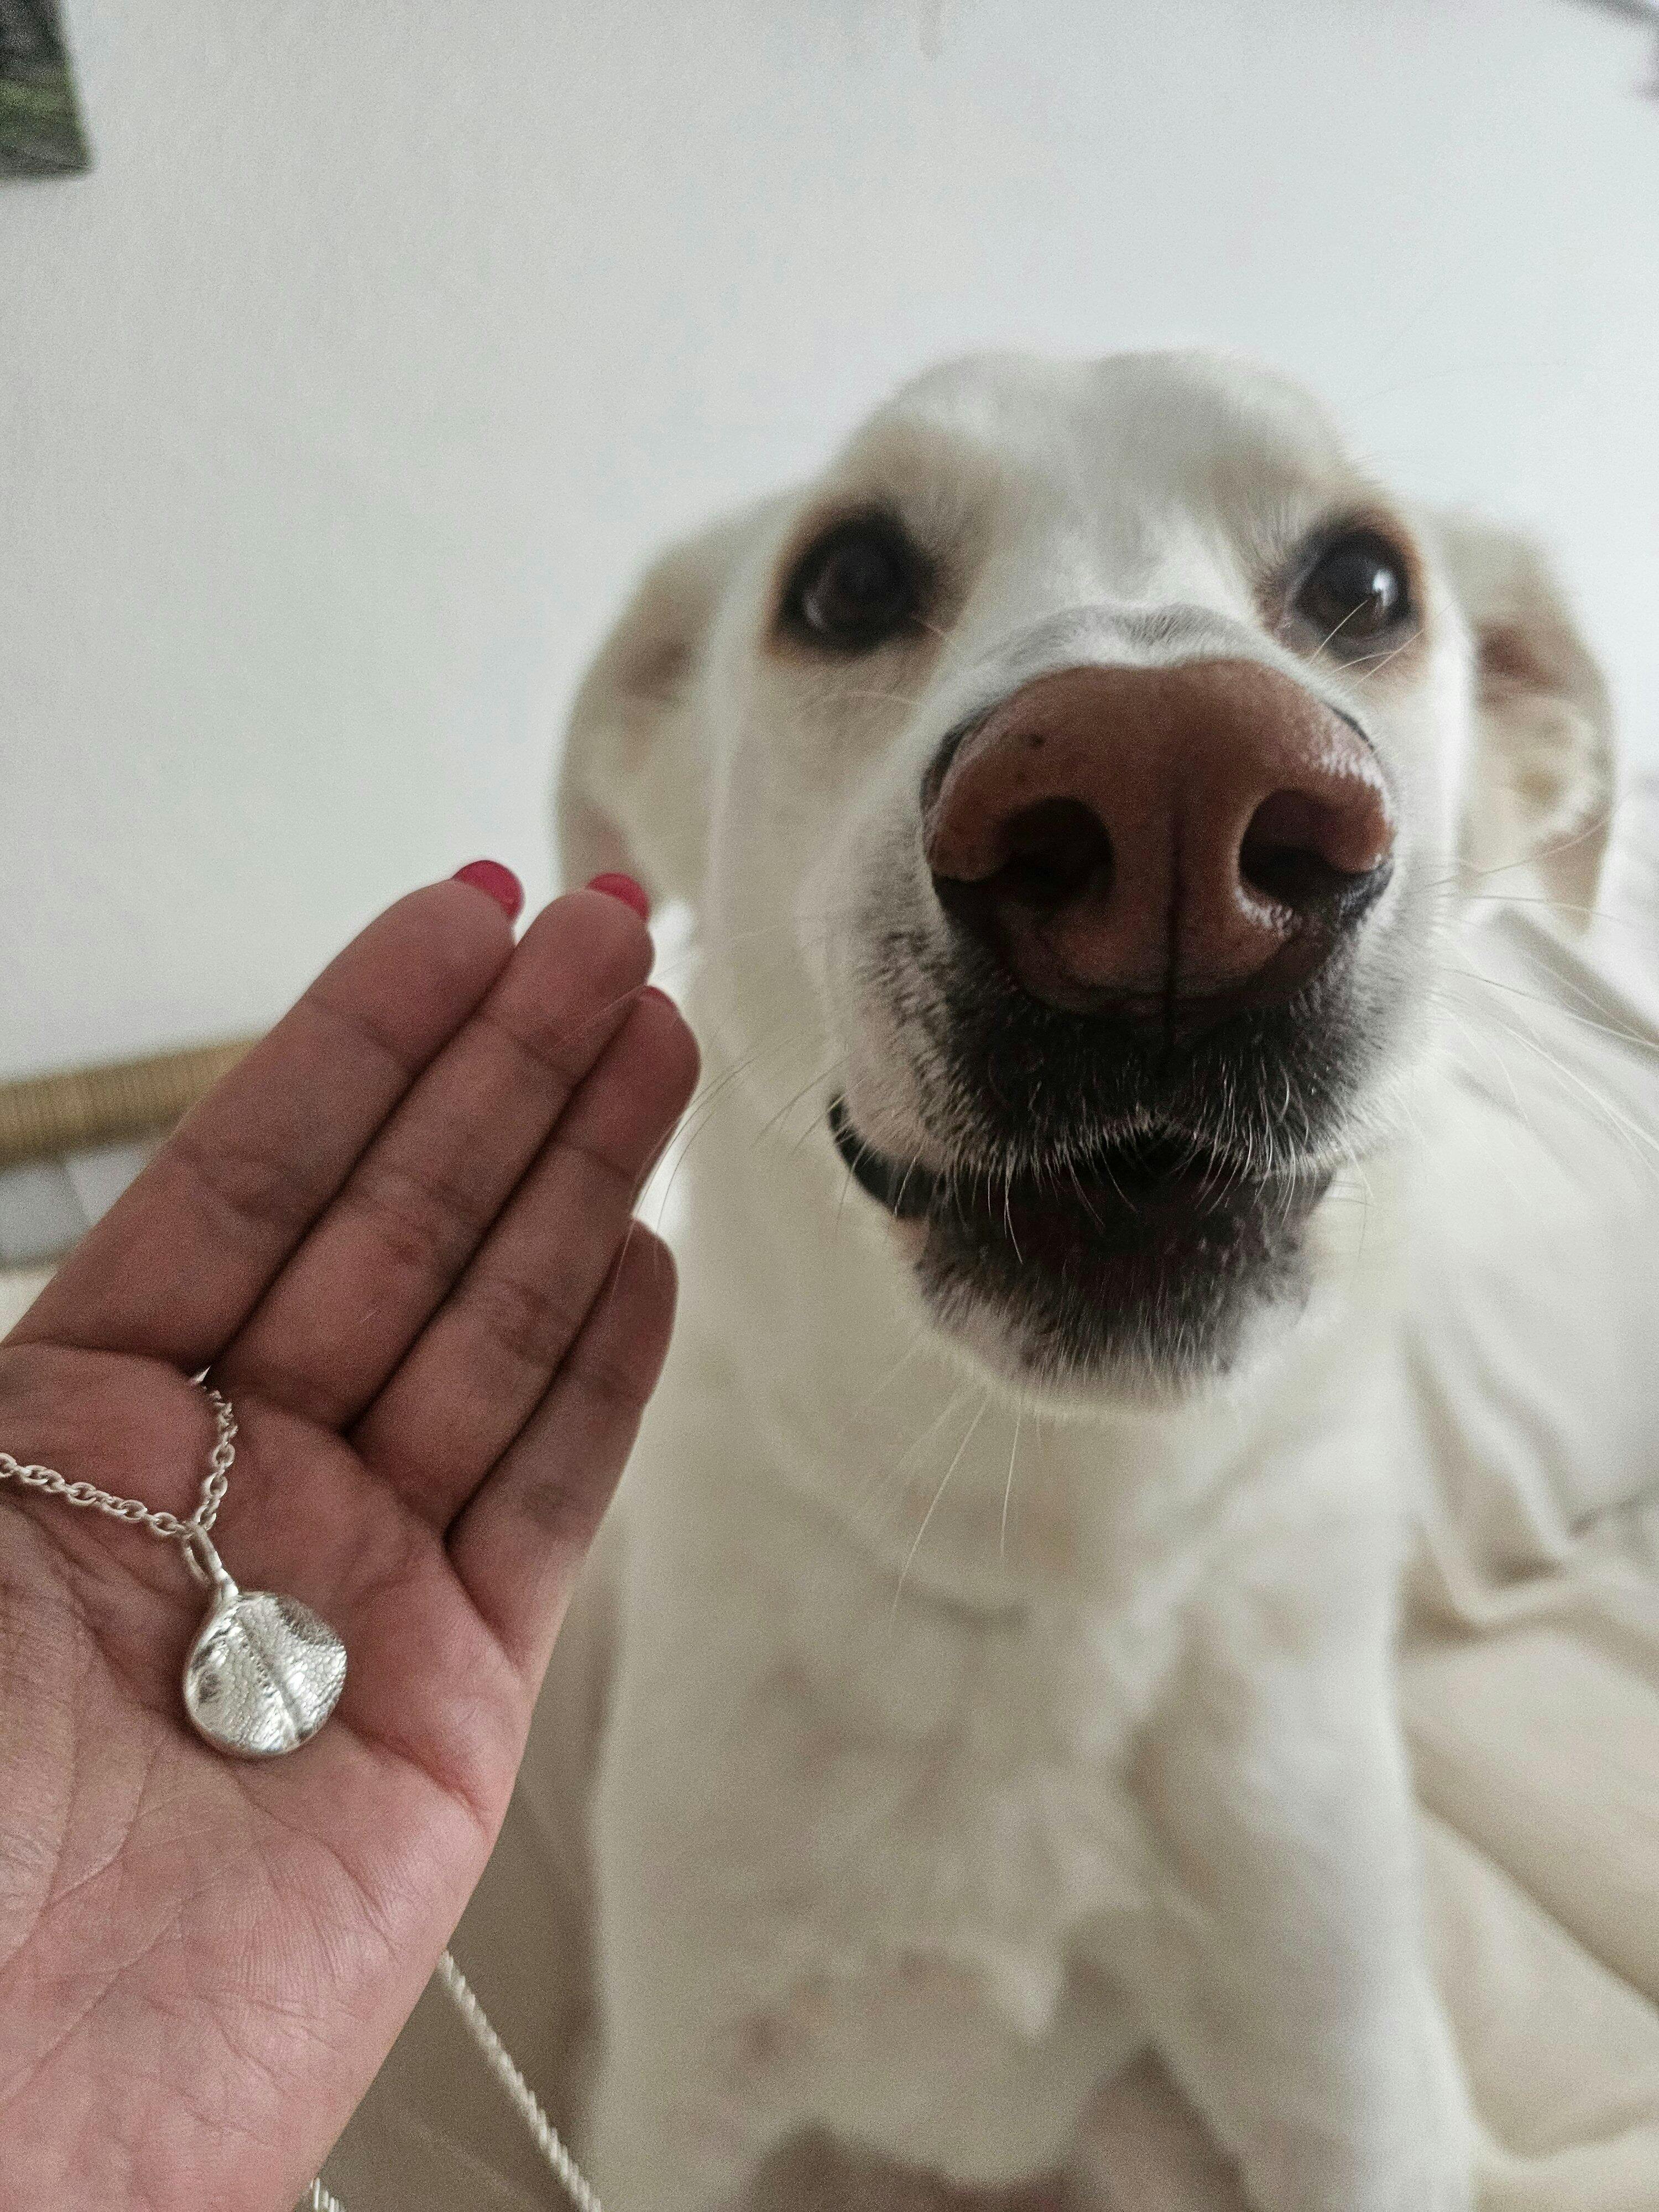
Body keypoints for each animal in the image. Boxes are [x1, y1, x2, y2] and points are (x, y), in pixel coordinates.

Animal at [552, 350, 1613, 2211]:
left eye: (1365, 584)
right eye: (847, 580)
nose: (1173, 784)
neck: (1043, 1568)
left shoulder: (1345, 2081)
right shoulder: (670, 2099)